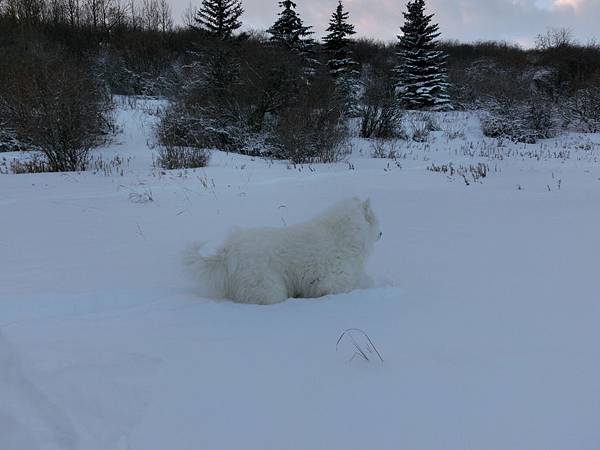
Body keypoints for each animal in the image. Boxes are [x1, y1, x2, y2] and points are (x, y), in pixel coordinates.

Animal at [183, 198, 382, 306]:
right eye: (376, 220)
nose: (381, 234)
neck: (342, 234)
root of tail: (229, 251)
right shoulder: (335, 280)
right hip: (269, 287)